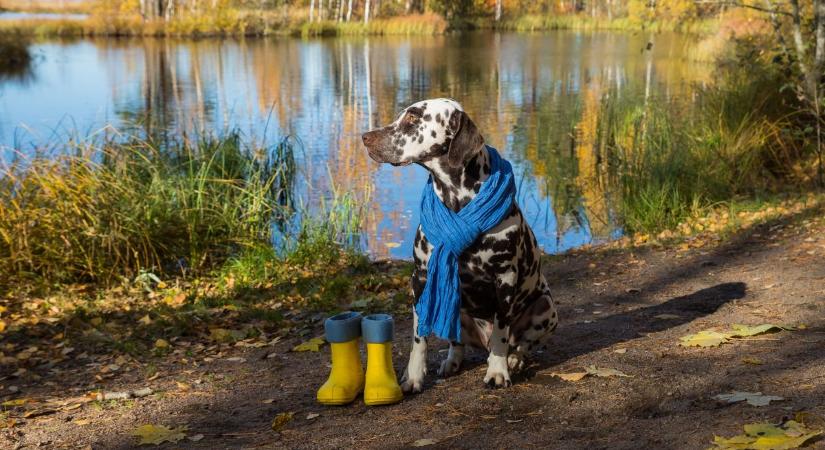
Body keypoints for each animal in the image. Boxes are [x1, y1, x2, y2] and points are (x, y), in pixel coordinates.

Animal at [362, 97, 560, 390]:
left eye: (413, 117)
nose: (365, 137)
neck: (457, 201)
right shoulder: (421, 278)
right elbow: (418, 339)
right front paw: (413, 376)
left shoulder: (505, 279)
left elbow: (501, 333)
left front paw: (498, 371)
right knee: (456, 342)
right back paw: (452, 361)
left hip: (546, 308)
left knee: (521, 345)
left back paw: (514, 360)